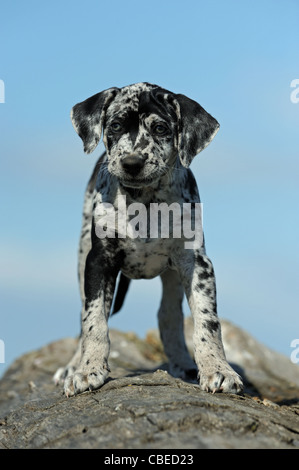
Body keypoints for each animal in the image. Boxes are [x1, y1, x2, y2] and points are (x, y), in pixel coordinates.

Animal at [55, 81, 245, 396]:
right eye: (115, 125)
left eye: (159, 128)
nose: (132, 162)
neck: (143, 201)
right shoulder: (98, 261)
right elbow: (94, 320)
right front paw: (87, 370)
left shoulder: (197, 263)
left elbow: (207, 322)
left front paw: (218, 369)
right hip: (82, 254)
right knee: (84, 315)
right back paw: (73, 364)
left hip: (173, 275)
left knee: (168, 315)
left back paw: (183, 362)